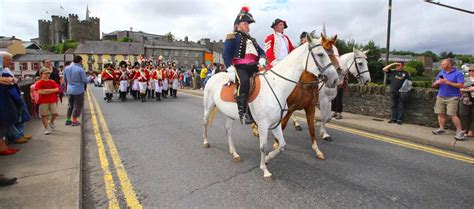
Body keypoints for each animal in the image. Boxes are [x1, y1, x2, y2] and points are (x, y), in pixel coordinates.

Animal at [202, 35, 338, 179]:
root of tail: (214, 76)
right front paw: (265, 170)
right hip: (208, 106)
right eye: (321, 54)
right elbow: (263, 146)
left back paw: (234, 153)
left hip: (230, 114)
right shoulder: (263, 124)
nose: (335, 79)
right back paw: (205, 142)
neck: (277, 85)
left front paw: (267, 159)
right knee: (205, 122)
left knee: (228, 130)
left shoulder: (276, 123)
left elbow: (282, 145)